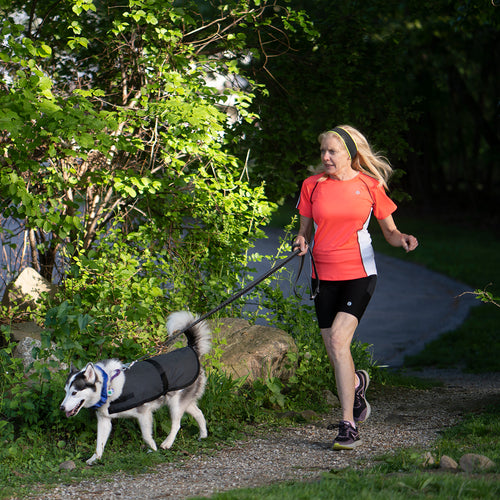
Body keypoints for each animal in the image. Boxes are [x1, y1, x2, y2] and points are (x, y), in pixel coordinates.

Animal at [59, 310, 210, 466]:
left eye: (74, 392)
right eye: (66, 392)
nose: (61, 408)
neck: (107, 385)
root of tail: (191, 349)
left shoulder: (144, 413)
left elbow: (146, 436)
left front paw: (153, 449)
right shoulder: (104, 420)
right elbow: (99, 443)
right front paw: (95, 458)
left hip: (175, 404)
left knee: (176, 424)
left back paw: (167, 443)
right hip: (184, 402)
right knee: (199, 414)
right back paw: (203, 435)